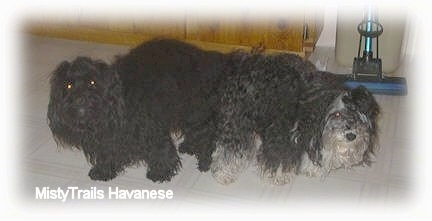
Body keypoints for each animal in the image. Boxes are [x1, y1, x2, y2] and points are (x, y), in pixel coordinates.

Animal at [48, 38, 226, 182]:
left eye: (92, 82)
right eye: (68, 85)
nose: (79, 99)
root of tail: (201, 54)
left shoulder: (151, 128)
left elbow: (161, 149)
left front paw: (160, 172)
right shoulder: (107, 140)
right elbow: (107, 153)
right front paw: (103, 171)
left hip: (194, 110)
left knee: (206, 133)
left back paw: (204, 161)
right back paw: (189, 146)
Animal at [211, 51, 380, 185]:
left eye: (357, 115)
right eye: (337, 114)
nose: (351, 135)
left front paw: (311, 168)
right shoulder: (280, 134)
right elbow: (280, 155)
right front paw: (279, 176)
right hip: (237, 120)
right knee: (228, 147)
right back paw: (223, 173)